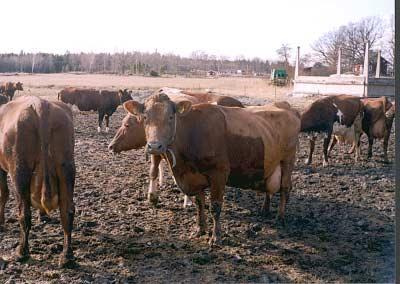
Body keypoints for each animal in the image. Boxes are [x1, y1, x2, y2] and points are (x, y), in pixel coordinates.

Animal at [0, 96, 76, 268]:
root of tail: (41, 104)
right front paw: (43, 216)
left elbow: (3, 194)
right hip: (66, 168)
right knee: (67, 211)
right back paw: (66, 256)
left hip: (20, 171)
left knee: (24, 214)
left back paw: (21, 252)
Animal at [109, 92, 245, 207]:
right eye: (145, 117)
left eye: (127, 125)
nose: (110, 146)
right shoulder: (154, 149)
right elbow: (153, 171)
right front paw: (152, 196)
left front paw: (187, 201)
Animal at [123, 93, 298, 246]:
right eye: (145, 117)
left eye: (171, 117)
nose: (155, 146)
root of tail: (289, 110)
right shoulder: (194, 177)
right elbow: (199, 203)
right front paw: (199, 229)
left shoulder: (219, 173)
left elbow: (215, 206)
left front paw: (215, 236)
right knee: (269, 188)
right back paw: (265, 210)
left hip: (288, 160)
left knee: (284, 188)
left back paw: (280, 217)